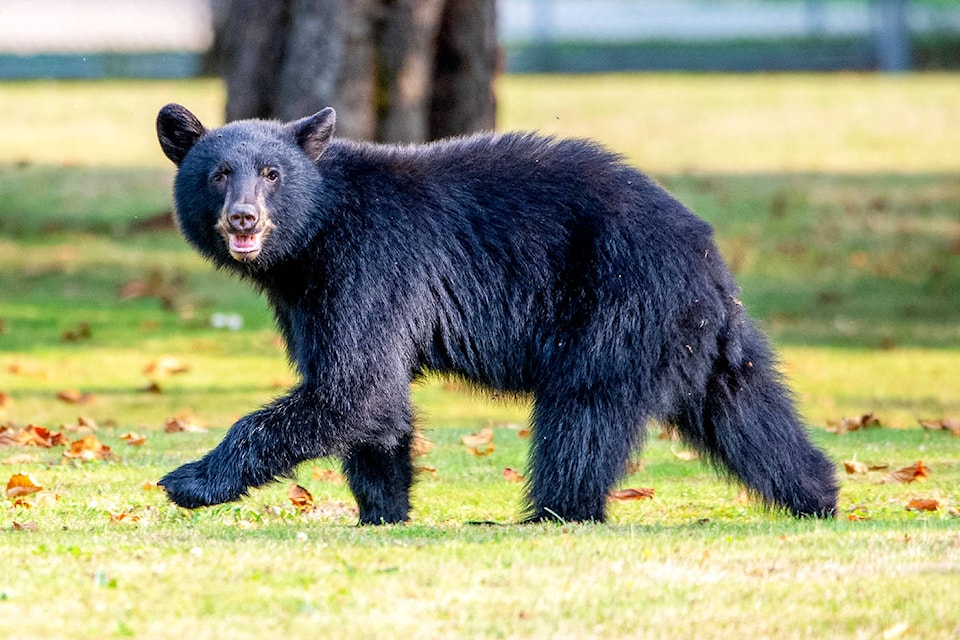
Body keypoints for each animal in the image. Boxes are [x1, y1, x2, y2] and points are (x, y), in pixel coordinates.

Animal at [154, 104, 836, 524]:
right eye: (219, 174)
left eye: (271, 174)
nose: (244, 219)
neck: (313, 235)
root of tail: (706, 254)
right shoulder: (307, 294)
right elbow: (374, 398)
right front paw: (383, 510)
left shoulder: (371, 261)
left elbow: (356, 383)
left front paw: (187, 480)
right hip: (696, 334)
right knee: (746, 408)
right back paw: (817, 493)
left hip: (617, 303)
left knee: (583, 412)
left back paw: (555, 511)